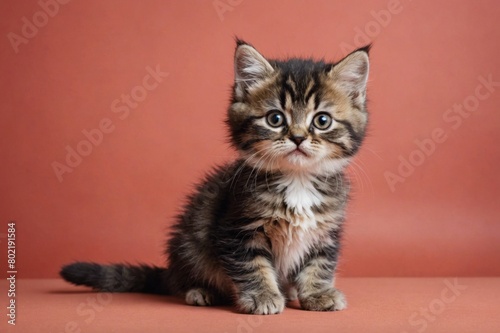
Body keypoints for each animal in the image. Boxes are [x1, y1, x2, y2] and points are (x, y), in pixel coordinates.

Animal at [60, 39, 370, 314]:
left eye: (322, 120)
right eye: (275, 119)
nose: (297, 138)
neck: (297, 179)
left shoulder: (326, 231)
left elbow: (319, 264)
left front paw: (317, 294)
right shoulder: (236, 227)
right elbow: (252, 265)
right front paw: (262, 296)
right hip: (190, 240)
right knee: (185, 277)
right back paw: (200, 290)